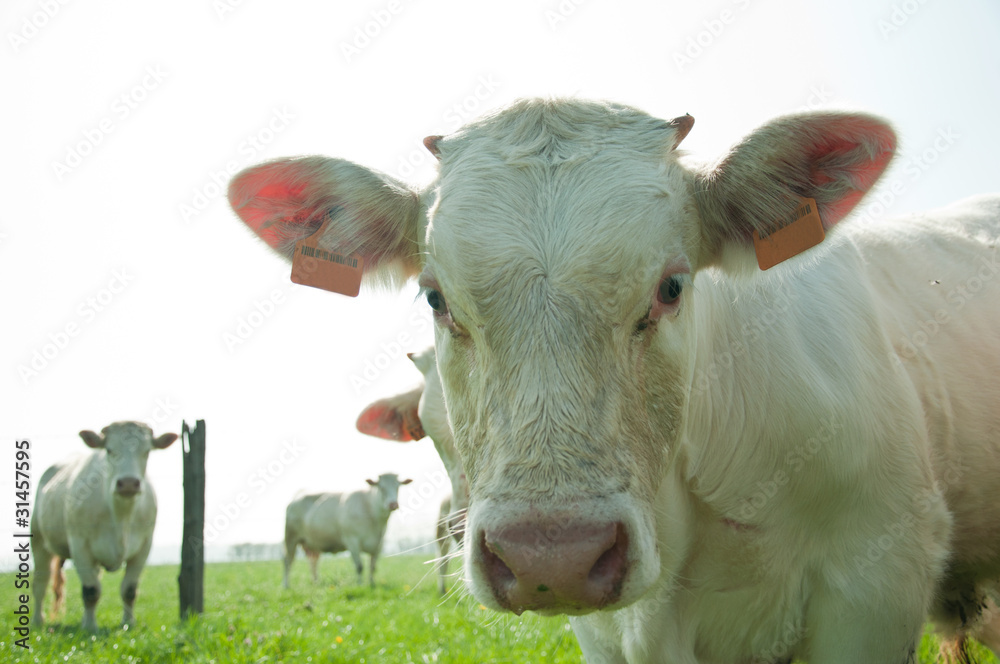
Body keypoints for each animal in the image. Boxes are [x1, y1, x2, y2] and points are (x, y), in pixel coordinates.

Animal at [31, 421, 177, 631]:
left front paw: (128, 622)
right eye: (109, 450)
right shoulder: (80, 547)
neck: (121, 516)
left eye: (147, 451)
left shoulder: (144, 547)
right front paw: (90, 627)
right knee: (40, 584)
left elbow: (129, 590)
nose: (128, 483)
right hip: (39, 542)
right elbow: (90, 591)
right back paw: (37, 621)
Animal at [283, 473, 411, 588]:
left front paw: (372, 584)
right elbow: (359, 566)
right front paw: (360, 585)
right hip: (290, 537)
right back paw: (286, 585)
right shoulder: (352, 541)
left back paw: (316, 583)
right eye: (381, 488)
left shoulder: (379, 544)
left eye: (398, 487)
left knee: (313, 562)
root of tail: (295, 499)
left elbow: (373, 567)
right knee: (288, 561)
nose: (393, 504)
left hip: (312, 543)